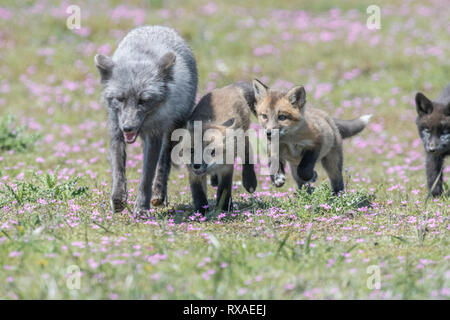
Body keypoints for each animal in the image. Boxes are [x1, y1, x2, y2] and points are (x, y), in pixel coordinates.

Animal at [94, 25, 197, 215]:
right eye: (120, 99)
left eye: (143, 100)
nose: (128, 127)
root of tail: (158, 27)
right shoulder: (116, 130)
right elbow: (118, 169)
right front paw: (118, 198)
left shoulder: (154, 136)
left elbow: (147, 176)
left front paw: (142, 207)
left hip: (173, 131)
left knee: (164, 162)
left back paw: (159, 194)